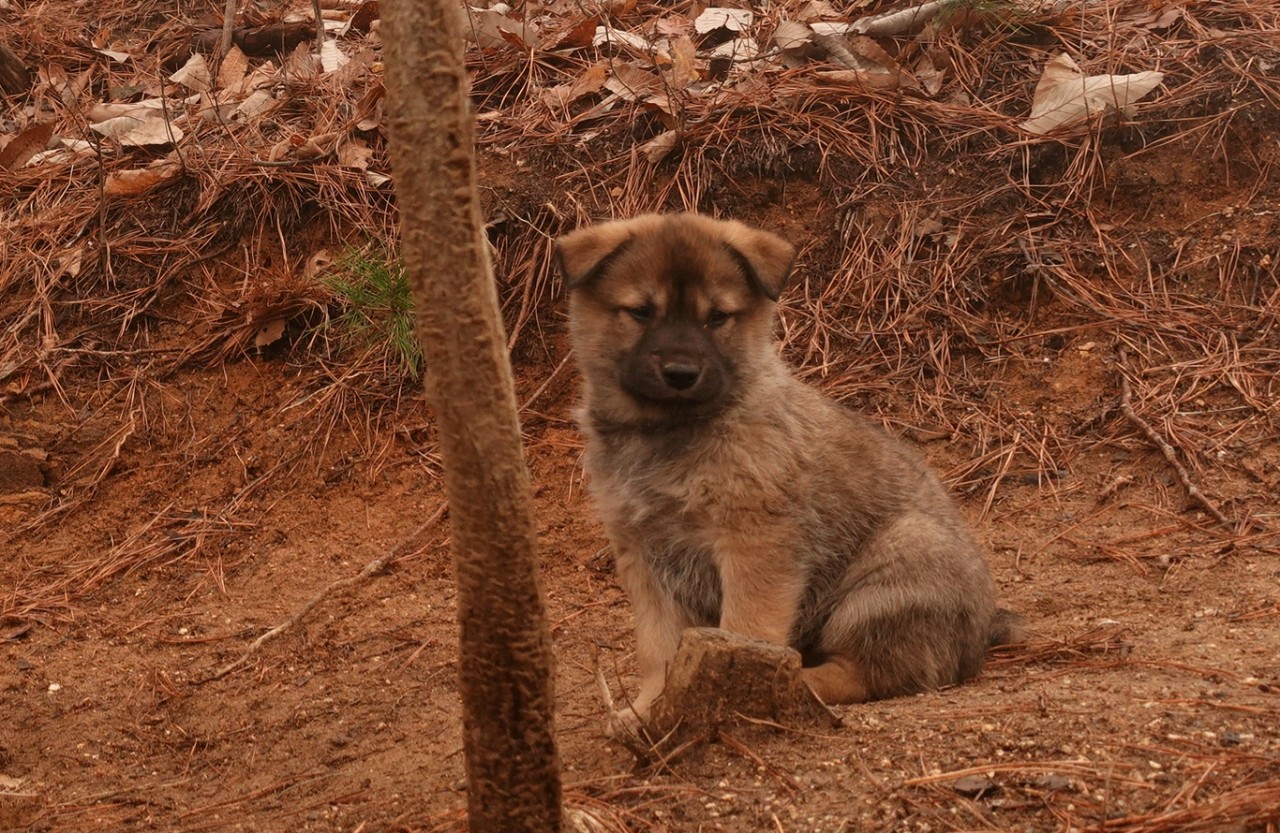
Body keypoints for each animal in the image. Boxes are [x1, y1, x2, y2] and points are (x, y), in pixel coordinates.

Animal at [558, 213, 1018, 721]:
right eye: (640, 312)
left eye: (717, 317)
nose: (681, 373)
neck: (670, 431)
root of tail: (980, 637)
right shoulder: (644, 558)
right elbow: (657, 649)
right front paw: (649, 709)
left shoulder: (755, 544)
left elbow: (745, 628)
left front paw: (730, 695)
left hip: (894, 570)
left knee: (868, 673)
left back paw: (799, 683)